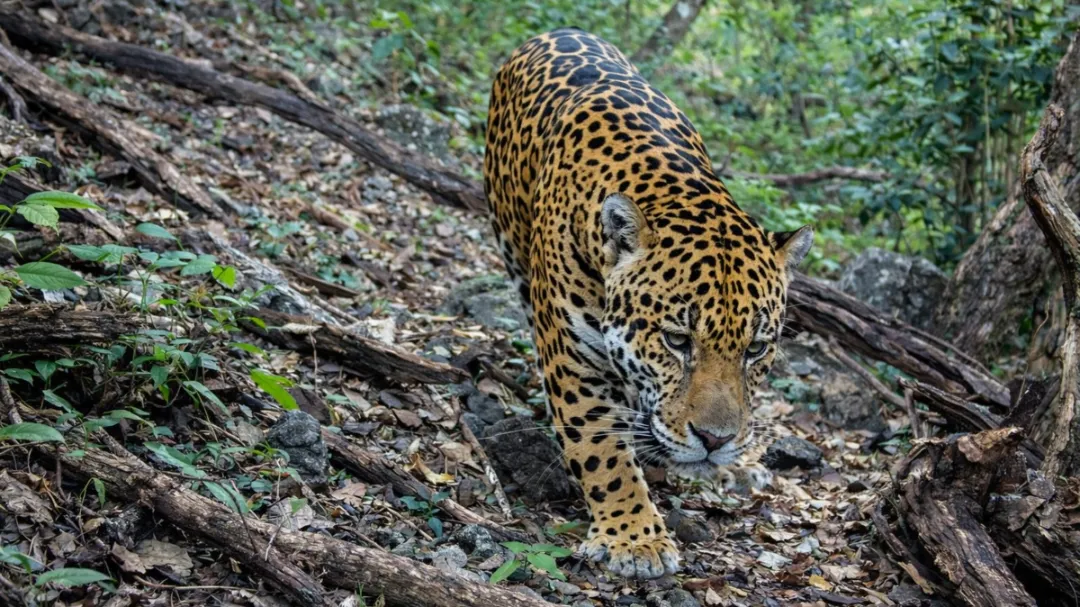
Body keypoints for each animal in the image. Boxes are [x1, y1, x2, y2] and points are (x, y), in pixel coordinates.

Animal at [483, 28, 813, 579]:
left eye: (755, 350)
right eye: (677, 341)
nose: (715, 440)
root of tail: (555, 32)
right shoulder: (572, 358)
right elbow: (601, 449)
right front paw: (634, 539)